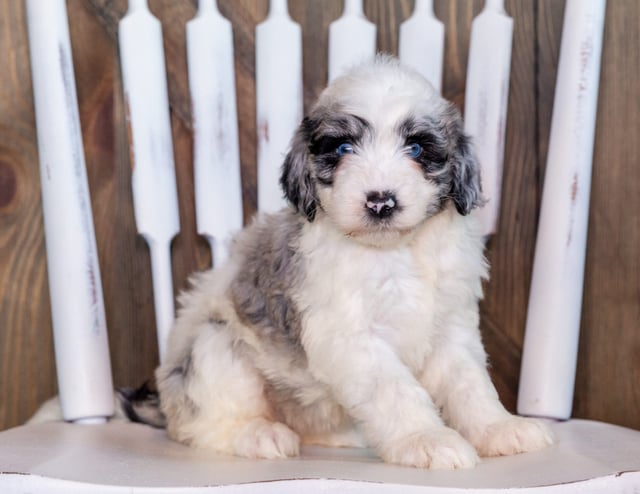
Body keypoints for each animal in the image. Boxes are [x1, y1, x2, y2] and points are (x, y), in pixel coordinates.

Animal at [156, 57, 556, 466]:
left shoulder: (451, 329)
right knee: (205, 425)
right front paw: (426, 438)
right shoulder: (351, 336)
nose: (380, 202)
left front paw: (499, 428)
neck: (395, 253)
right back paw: (258, 434)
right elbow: (394, 389)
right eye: (344, 147)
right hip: (215, 346)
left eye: (416, 148)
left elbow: (470, 383)